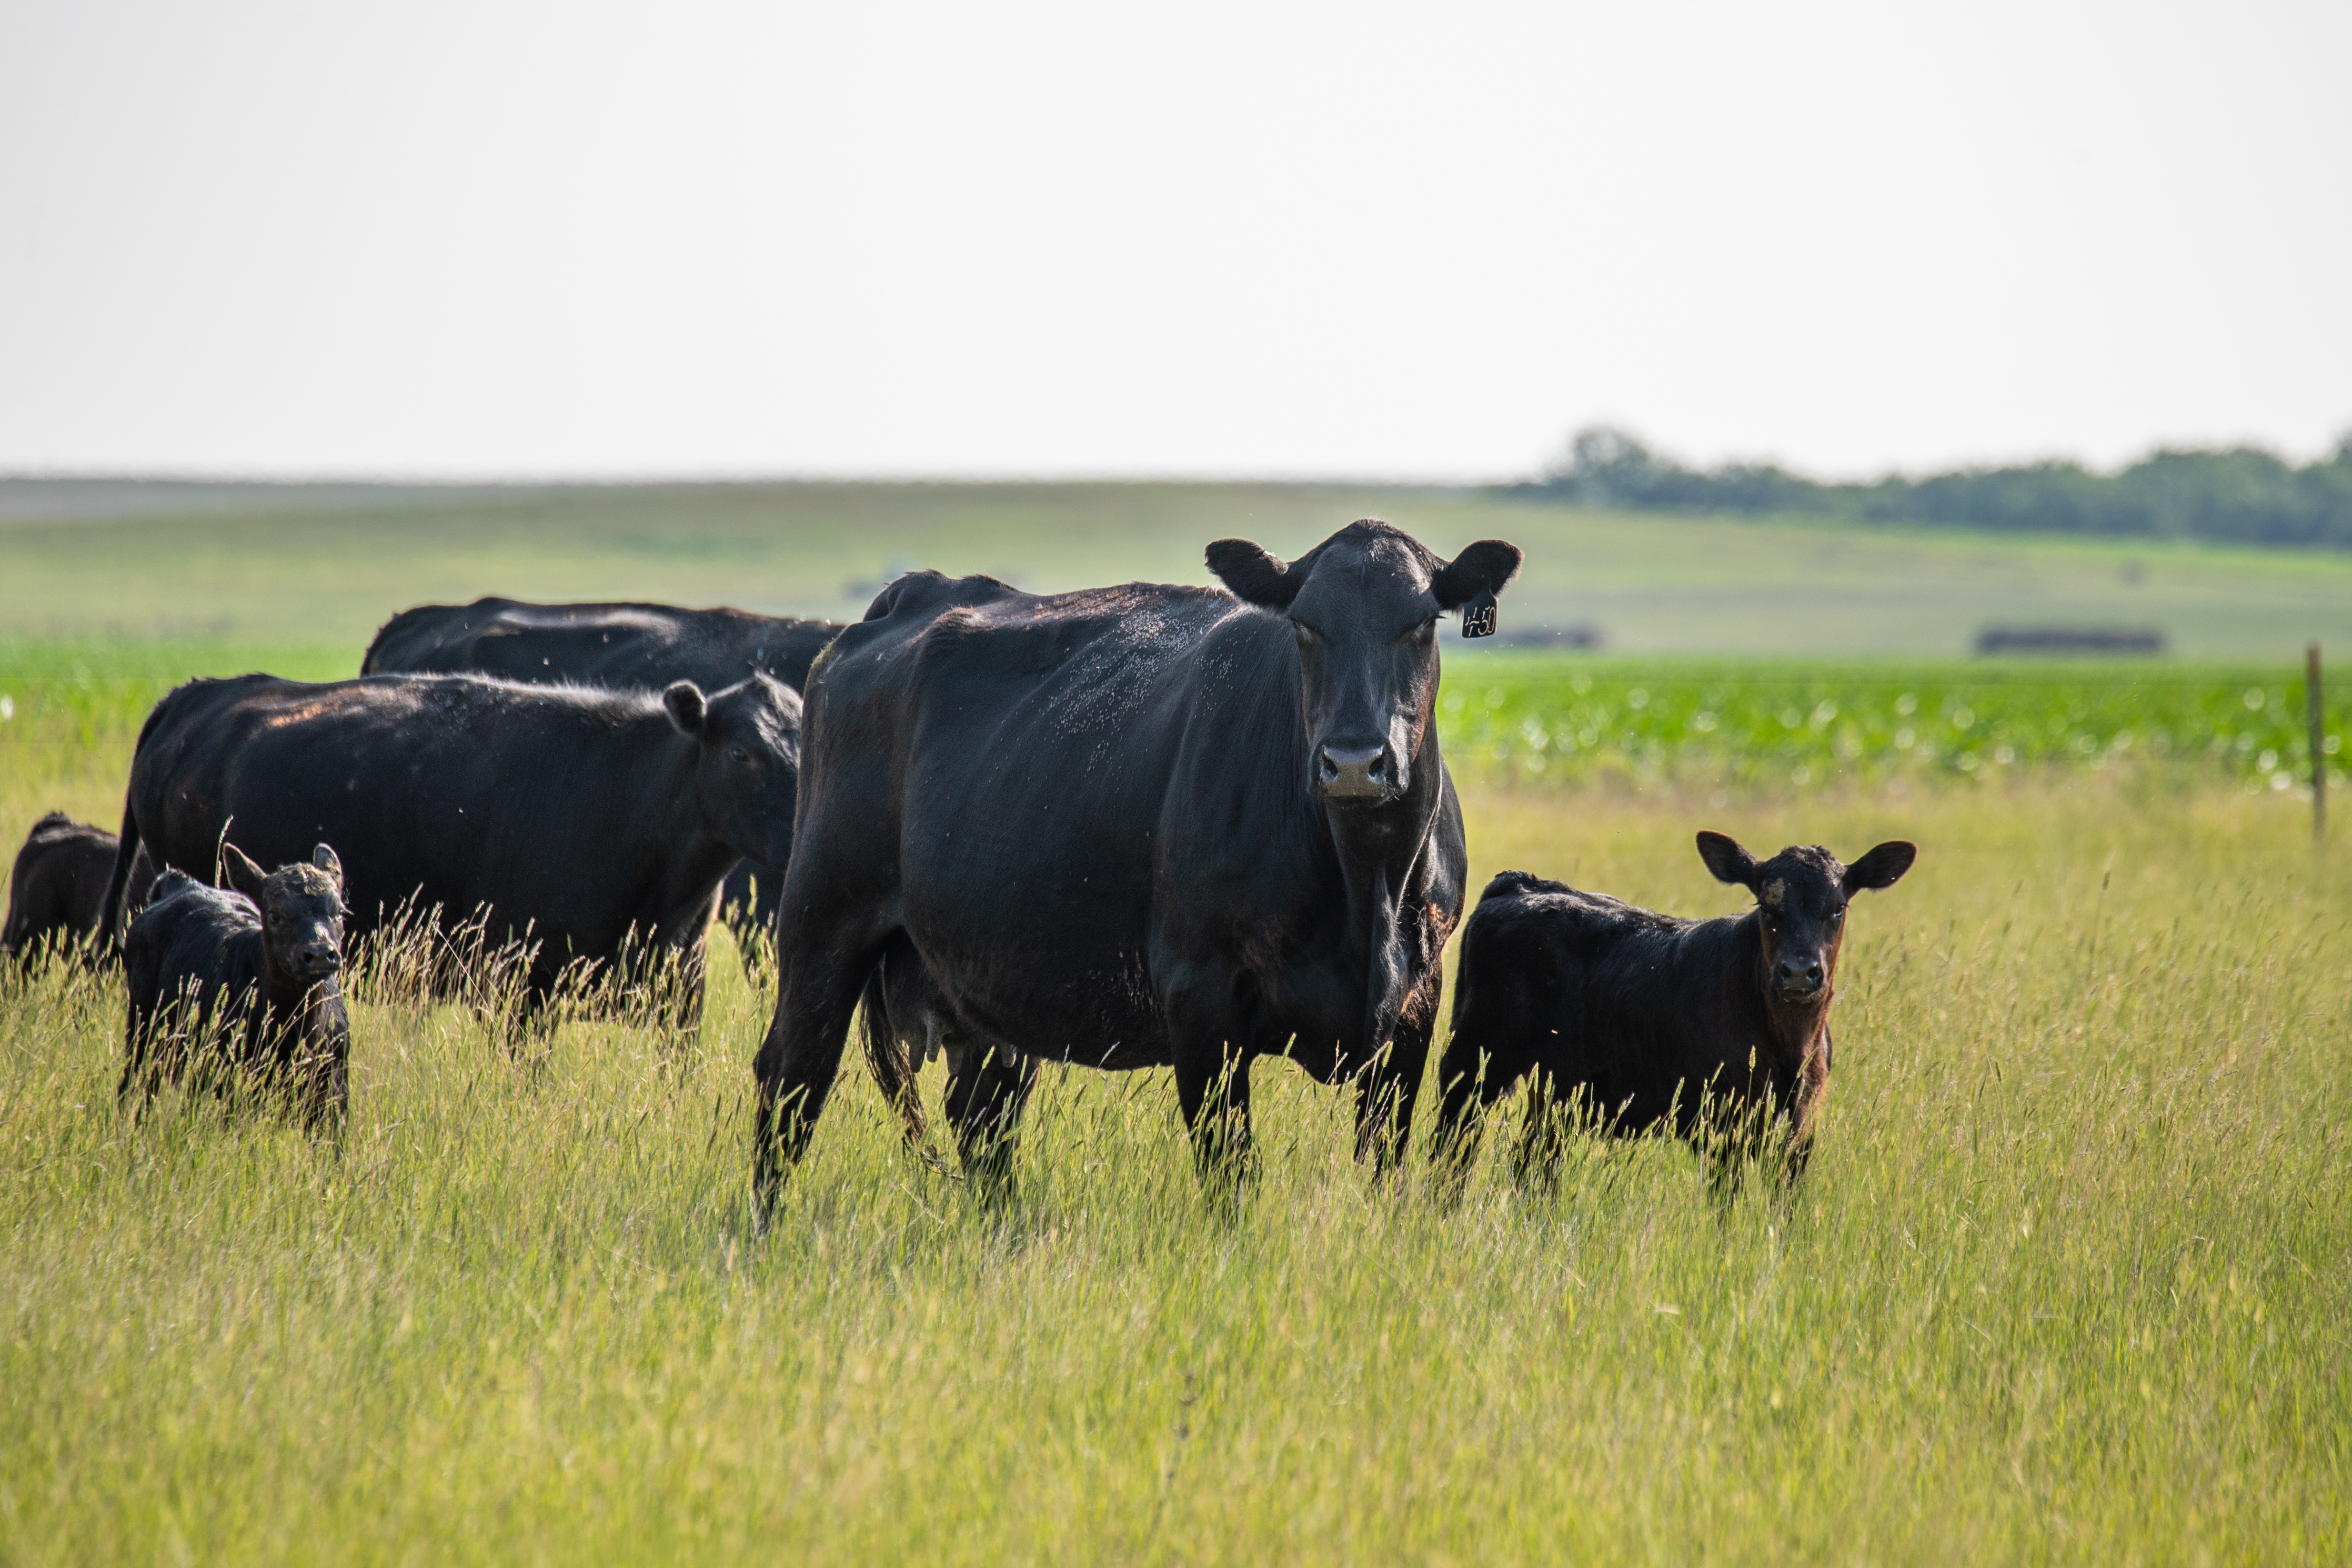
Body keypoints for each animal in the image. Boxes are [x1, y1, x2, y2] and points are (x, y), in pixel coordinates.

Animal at [121, 843, 351, 1130]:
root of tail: (181, 884)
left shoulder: (334, 1091)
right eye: (274, 915)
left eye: (340, 912)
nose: (320, 954)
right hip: (141, 1028)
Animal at [749, 518, 1523, 1206]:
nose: (1355, 760)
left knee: (983, 1113)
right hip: (822, 922)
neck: (1365, 888)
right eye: (1305, 625)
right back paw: (760, 1232)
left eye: (1420, 623)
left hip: (977, 981)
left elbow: (1385, 1162)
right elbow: (1230, 1172)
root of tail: (913, 593)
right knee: (791, 1081)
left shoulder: (1416, 1005)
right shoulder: (1201, 995)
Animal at [1430, 831, 1917, 1194]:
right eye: (1766, 906)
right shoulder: (1723, 1125)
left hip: (1556, 1088)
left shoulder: (1799, 1133)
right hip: (1472, 1062)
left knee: (1531, 1162)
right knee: (1452, 1151)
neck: (1790, 1048)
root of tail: (1520, 883)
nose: (1799, 971)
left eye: (1838, 908)